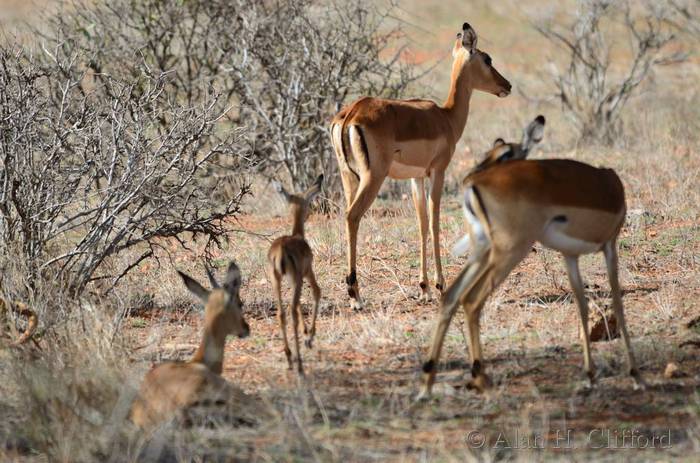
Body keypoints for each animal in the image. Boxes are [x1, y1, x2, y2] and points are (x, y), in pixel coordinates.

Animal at [268, 174, 323, 375]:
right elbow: (317, 292)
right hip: (298, 278)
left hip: (276, 280)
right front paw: (310, 336)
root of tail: (281, 249)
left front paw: (307, 332)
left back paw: (289, 356)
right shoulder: (308, 273)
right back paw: (299, 363)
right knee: (292, 312)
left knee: (282, 313)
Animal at [331, 22, 511, 309]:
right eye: (487, 58)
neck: (446, 117)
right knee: (352, 216)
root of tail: (351, 114)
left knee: (348, 217)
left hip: (349, 177)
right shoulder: (438, 171)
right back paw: (355, 295)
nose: (507, 85)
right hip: (373, 178)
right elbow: (436, 222)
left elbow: (422, 223)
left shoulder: (416, 178)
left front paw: (424, 288)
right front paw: (440, 286)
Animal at [418, 116, 644, 399]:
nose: (469, 175)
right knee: (471, 300)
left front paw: (591, 376)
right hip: (510, 251)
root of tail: (475, 188)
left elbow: (582, 305)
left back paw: (428, 381)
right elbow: (617, 303)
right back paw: (481, 379)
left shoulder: (570, 254)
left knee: (450, 295)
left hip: (482, 252)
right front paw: (635, 375)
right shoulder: (610, 246)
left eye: (505, 153)